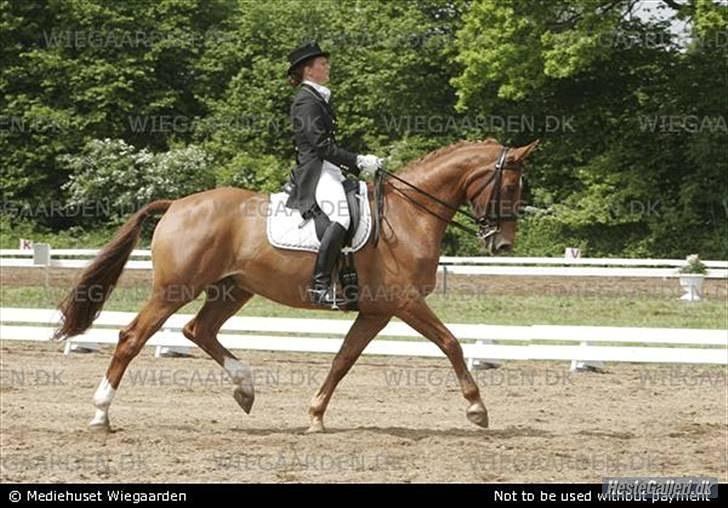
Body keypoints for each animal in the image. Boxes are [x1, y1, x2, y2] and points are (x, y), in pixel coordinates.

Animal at [54, 138, 536, 432]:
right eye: (511, 185)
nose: (503, 244)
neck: (408, 215)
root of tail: (176, 204)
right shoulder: (404, 301)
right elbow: (450, 342)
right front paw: (477, 409)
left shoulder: (376, 311)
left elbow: (342, 360)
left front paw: (316, 415)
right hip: (176, 288)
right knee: (132, 337)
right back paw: (101, 413)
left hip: (233, 288)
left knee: (198, 330)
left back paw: (245, 388)